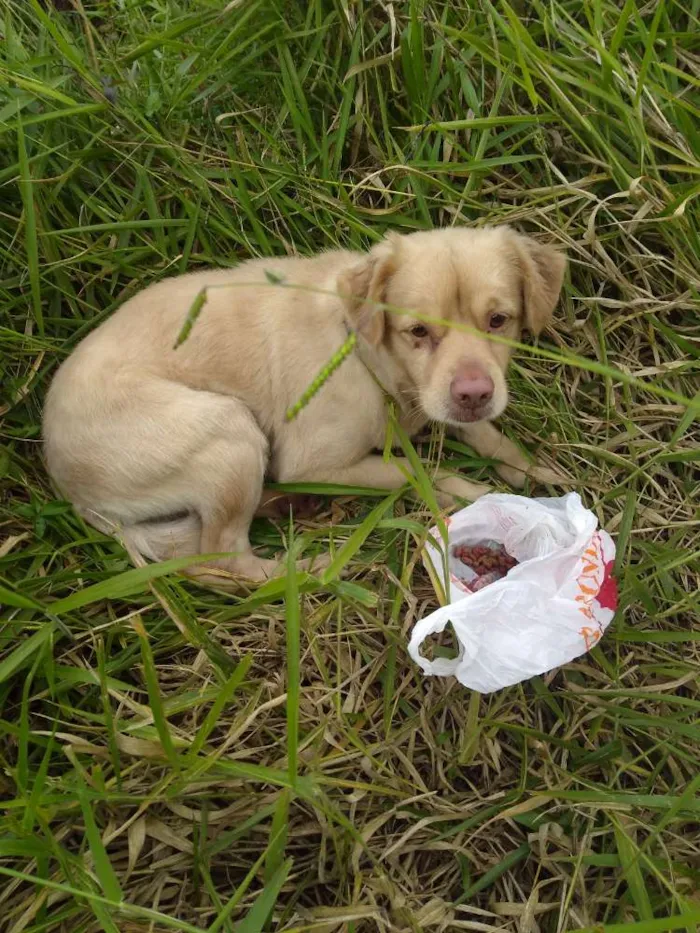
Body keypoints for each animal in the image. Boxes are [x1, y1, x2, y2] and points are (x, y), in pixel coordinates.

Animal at [43, 226, 568, 584]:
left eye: (499, 320)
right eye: (417, 331)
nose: (475, 392)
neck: (363, 350)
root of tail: (67, 486)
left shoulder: (445, 404)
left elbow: (487, 436)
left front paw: (533, 469)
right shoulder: (316, 461)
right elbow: (418, 472)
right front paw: (476, 493)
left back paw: (283, 504)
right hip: (229, 432)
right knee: (221, 560)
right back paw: (312, 567)